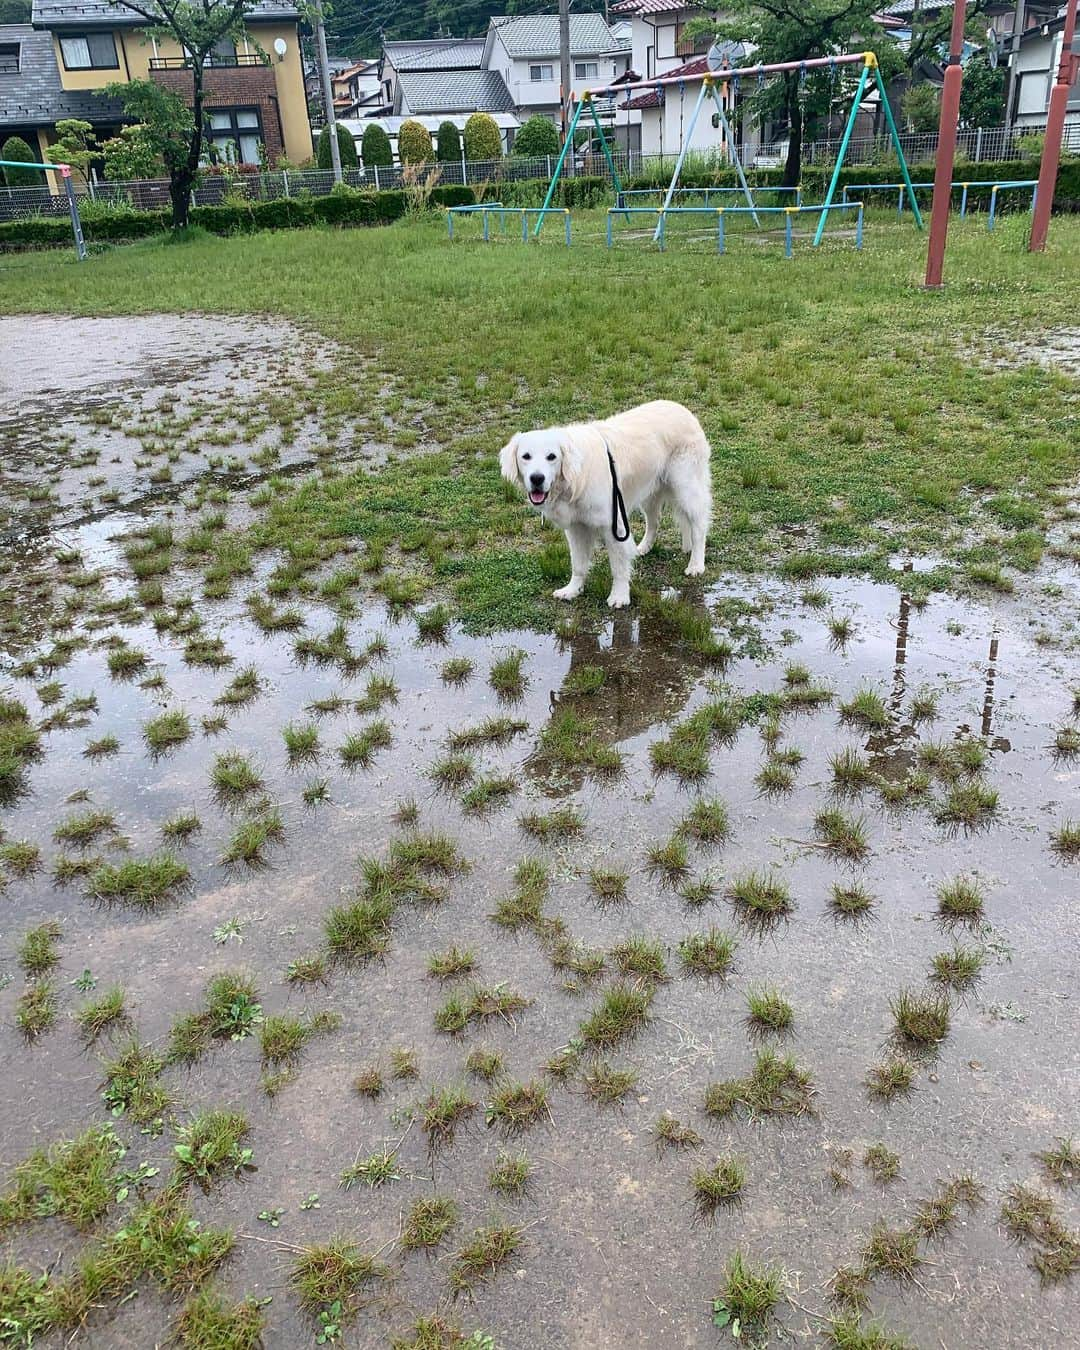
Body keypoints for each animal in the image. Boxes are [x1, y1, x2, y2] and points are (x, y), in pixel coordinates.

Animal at [502, 396, 712, 610]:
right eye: (526, 456)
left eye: (551, 457)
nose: (537, 478)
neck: (576, 478)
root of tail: (681, 408)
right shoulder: (576, 527)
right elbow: (578, 564)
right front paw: (572, 590)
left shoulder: (614, 525)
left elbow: (618, 567)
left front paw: (619, 596)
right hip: (650, 493)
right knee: (654, 521)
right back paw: (643, 548)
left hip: (686, 488)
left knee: (698, 527)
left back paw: (696, 564)